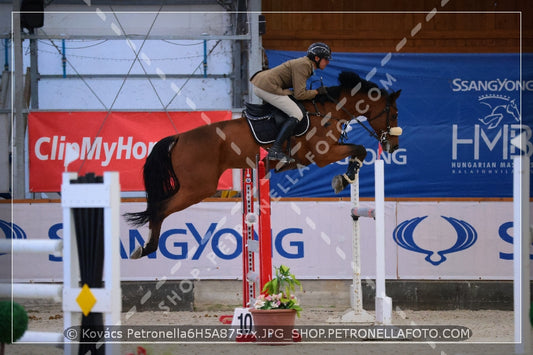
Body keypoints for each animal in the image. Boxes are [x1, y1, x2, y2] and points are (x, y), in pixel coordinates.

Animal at [125, 71, 400, 260]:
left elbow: (356, 150)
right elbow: (359, 149)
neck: (329, 110)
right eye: (395, 114)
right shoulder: (322, 155)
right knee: (160, 208)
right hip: (198, 188)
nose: (393, 147)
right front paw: (343, 178)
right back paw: (146, 248)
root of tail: (179, 137)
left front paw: (344, 176)